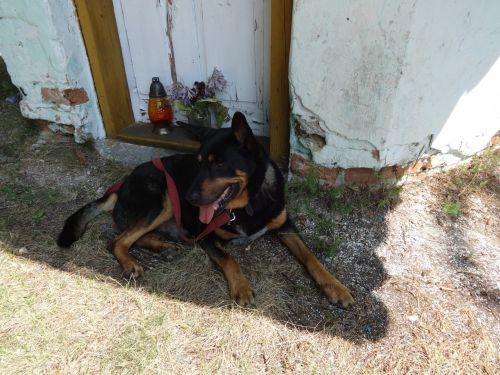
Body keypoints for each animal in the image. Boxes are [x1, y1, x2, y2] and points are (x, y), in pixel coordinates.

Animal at [58, 113, 354, 306]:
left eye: (220, 164)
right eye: (199, 162)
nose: (189, 197)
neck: (249, 203)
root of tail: (120, 187)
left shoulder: (285, 225)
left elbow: (311, 257)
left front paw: (335, 287)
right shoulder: (207, 236)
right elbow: (229, 258)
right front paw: (241, 287)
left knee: (132, 235)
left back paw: (162, 246)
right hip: (161, 198)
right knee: (118, 240)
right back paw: (132, 262)